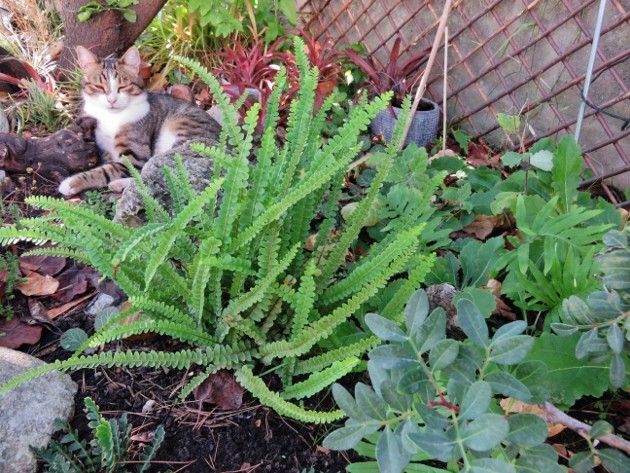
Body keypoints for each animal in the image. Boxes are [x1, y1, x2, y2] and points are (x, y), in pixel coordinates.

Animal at [58, 45, 222, 195]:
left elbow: (106, 171)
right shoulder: (105, 151)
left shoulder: (136, 156)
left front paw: (72, 182)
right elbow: (109, 165)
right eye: (99, 87)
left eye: (122, 87)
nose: (112, 100)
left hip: (182, 132)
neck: (112, 117)